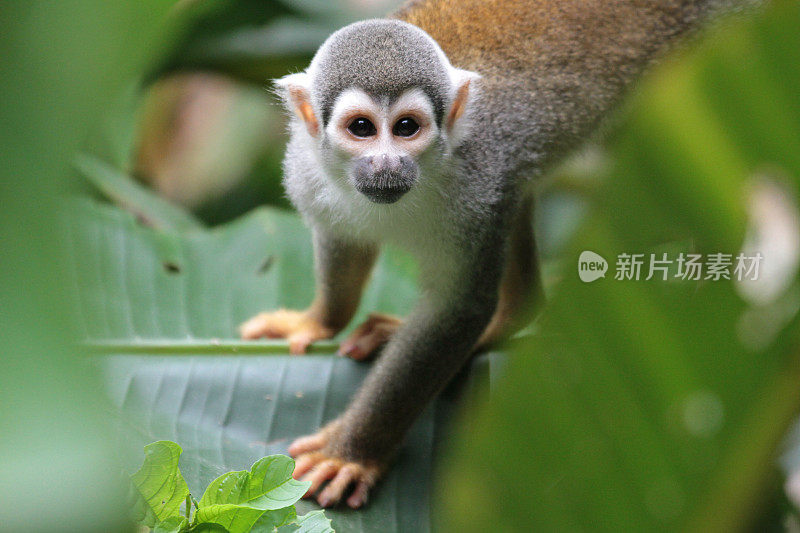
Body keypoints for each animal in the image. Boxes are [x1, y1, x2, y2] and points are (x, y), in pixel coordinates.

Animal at [239, 0, 756, 510]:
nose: (388, 164)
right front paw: (318, 321)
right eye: (362, 129)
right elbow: (341, 239)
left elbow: (459, 310)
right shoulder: (307, 170)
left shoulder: (476, 182)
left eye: (406, 128)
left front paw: (352, 452)